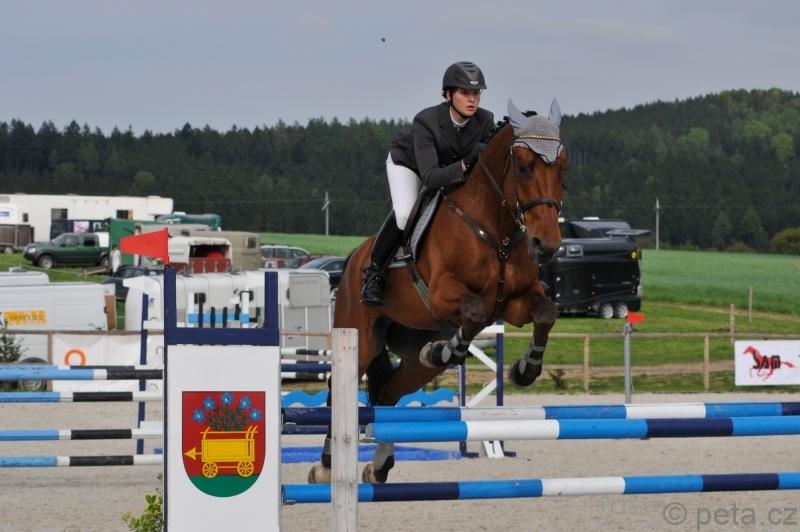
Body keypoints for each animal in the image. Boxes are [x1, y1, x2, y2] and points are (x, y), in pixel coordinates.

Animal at [309, 99, 567, 484]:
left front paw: (525, 369)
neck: (496, 230)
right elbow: (474, 311)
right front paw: (443, 352)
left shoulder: (515, 303)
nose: (546, 246)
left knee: (389, 390)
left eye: (563, 166)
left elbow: (546, 313)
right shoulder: (444, 293)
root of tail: (353, 258)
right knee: (336, 391)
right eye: (523, 167)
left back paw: (380, 465)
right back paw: (325, 466)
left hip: (412, 351)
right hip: (360, 337)